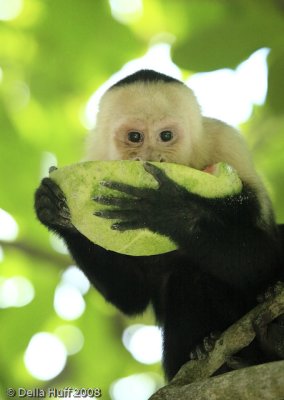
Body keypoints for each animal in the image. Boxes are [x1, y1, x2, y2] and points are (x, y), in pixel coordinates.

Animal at [33, 69, 284, 382]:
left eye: (166, 136)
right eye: (135, 137)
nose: (152, 157)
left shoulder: (227, 144)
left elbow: (264, 258)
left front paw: (167, 210)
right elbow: (132, 296)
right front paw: (54, 208)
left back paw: (271, 335)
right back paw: (210, 351)